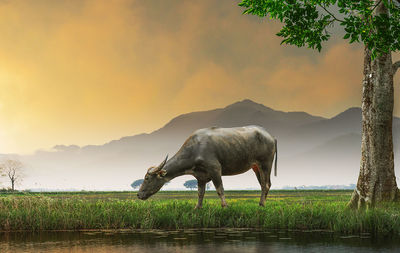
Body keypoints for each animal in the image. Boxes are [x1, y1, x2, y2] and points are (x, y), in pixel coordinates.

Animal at [136, 126, 276, 208]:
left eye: (147, 178)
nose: (138, 195)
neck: (196, 149)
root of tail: (271, 136)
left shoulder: (215, 170)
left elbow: (220, 189)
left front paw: (225, 206)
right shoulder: (200, 177)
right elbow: (200, 193)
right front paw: (197, 207)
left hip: (266, 164)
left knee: (266, 184)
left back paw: (262, 205)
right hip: (255, 167)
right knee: (264, 184)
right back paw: (261, 203)